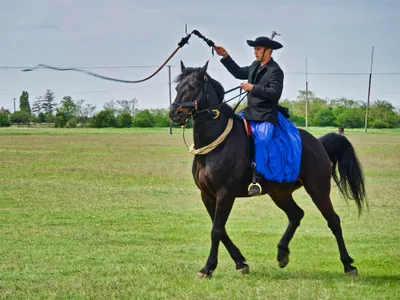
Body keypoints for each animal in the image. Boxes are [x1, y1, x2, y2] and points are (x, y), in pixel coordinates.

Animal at [168, 61, 366, 278]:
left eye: (194, 86)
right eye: (177, 88)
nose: (175, 114)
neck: (216, 145)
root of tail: (318, 143)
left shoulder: (225, 194)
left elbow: (217, 230)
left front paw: (208, 267)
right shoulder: (207, 195)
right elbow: (221, 229)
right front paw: (240, 262)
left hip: (318, 189)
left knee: (333, 221)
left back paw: (348, 265)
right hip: (280, 193)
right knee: (296, 215)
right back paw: (282, 254)